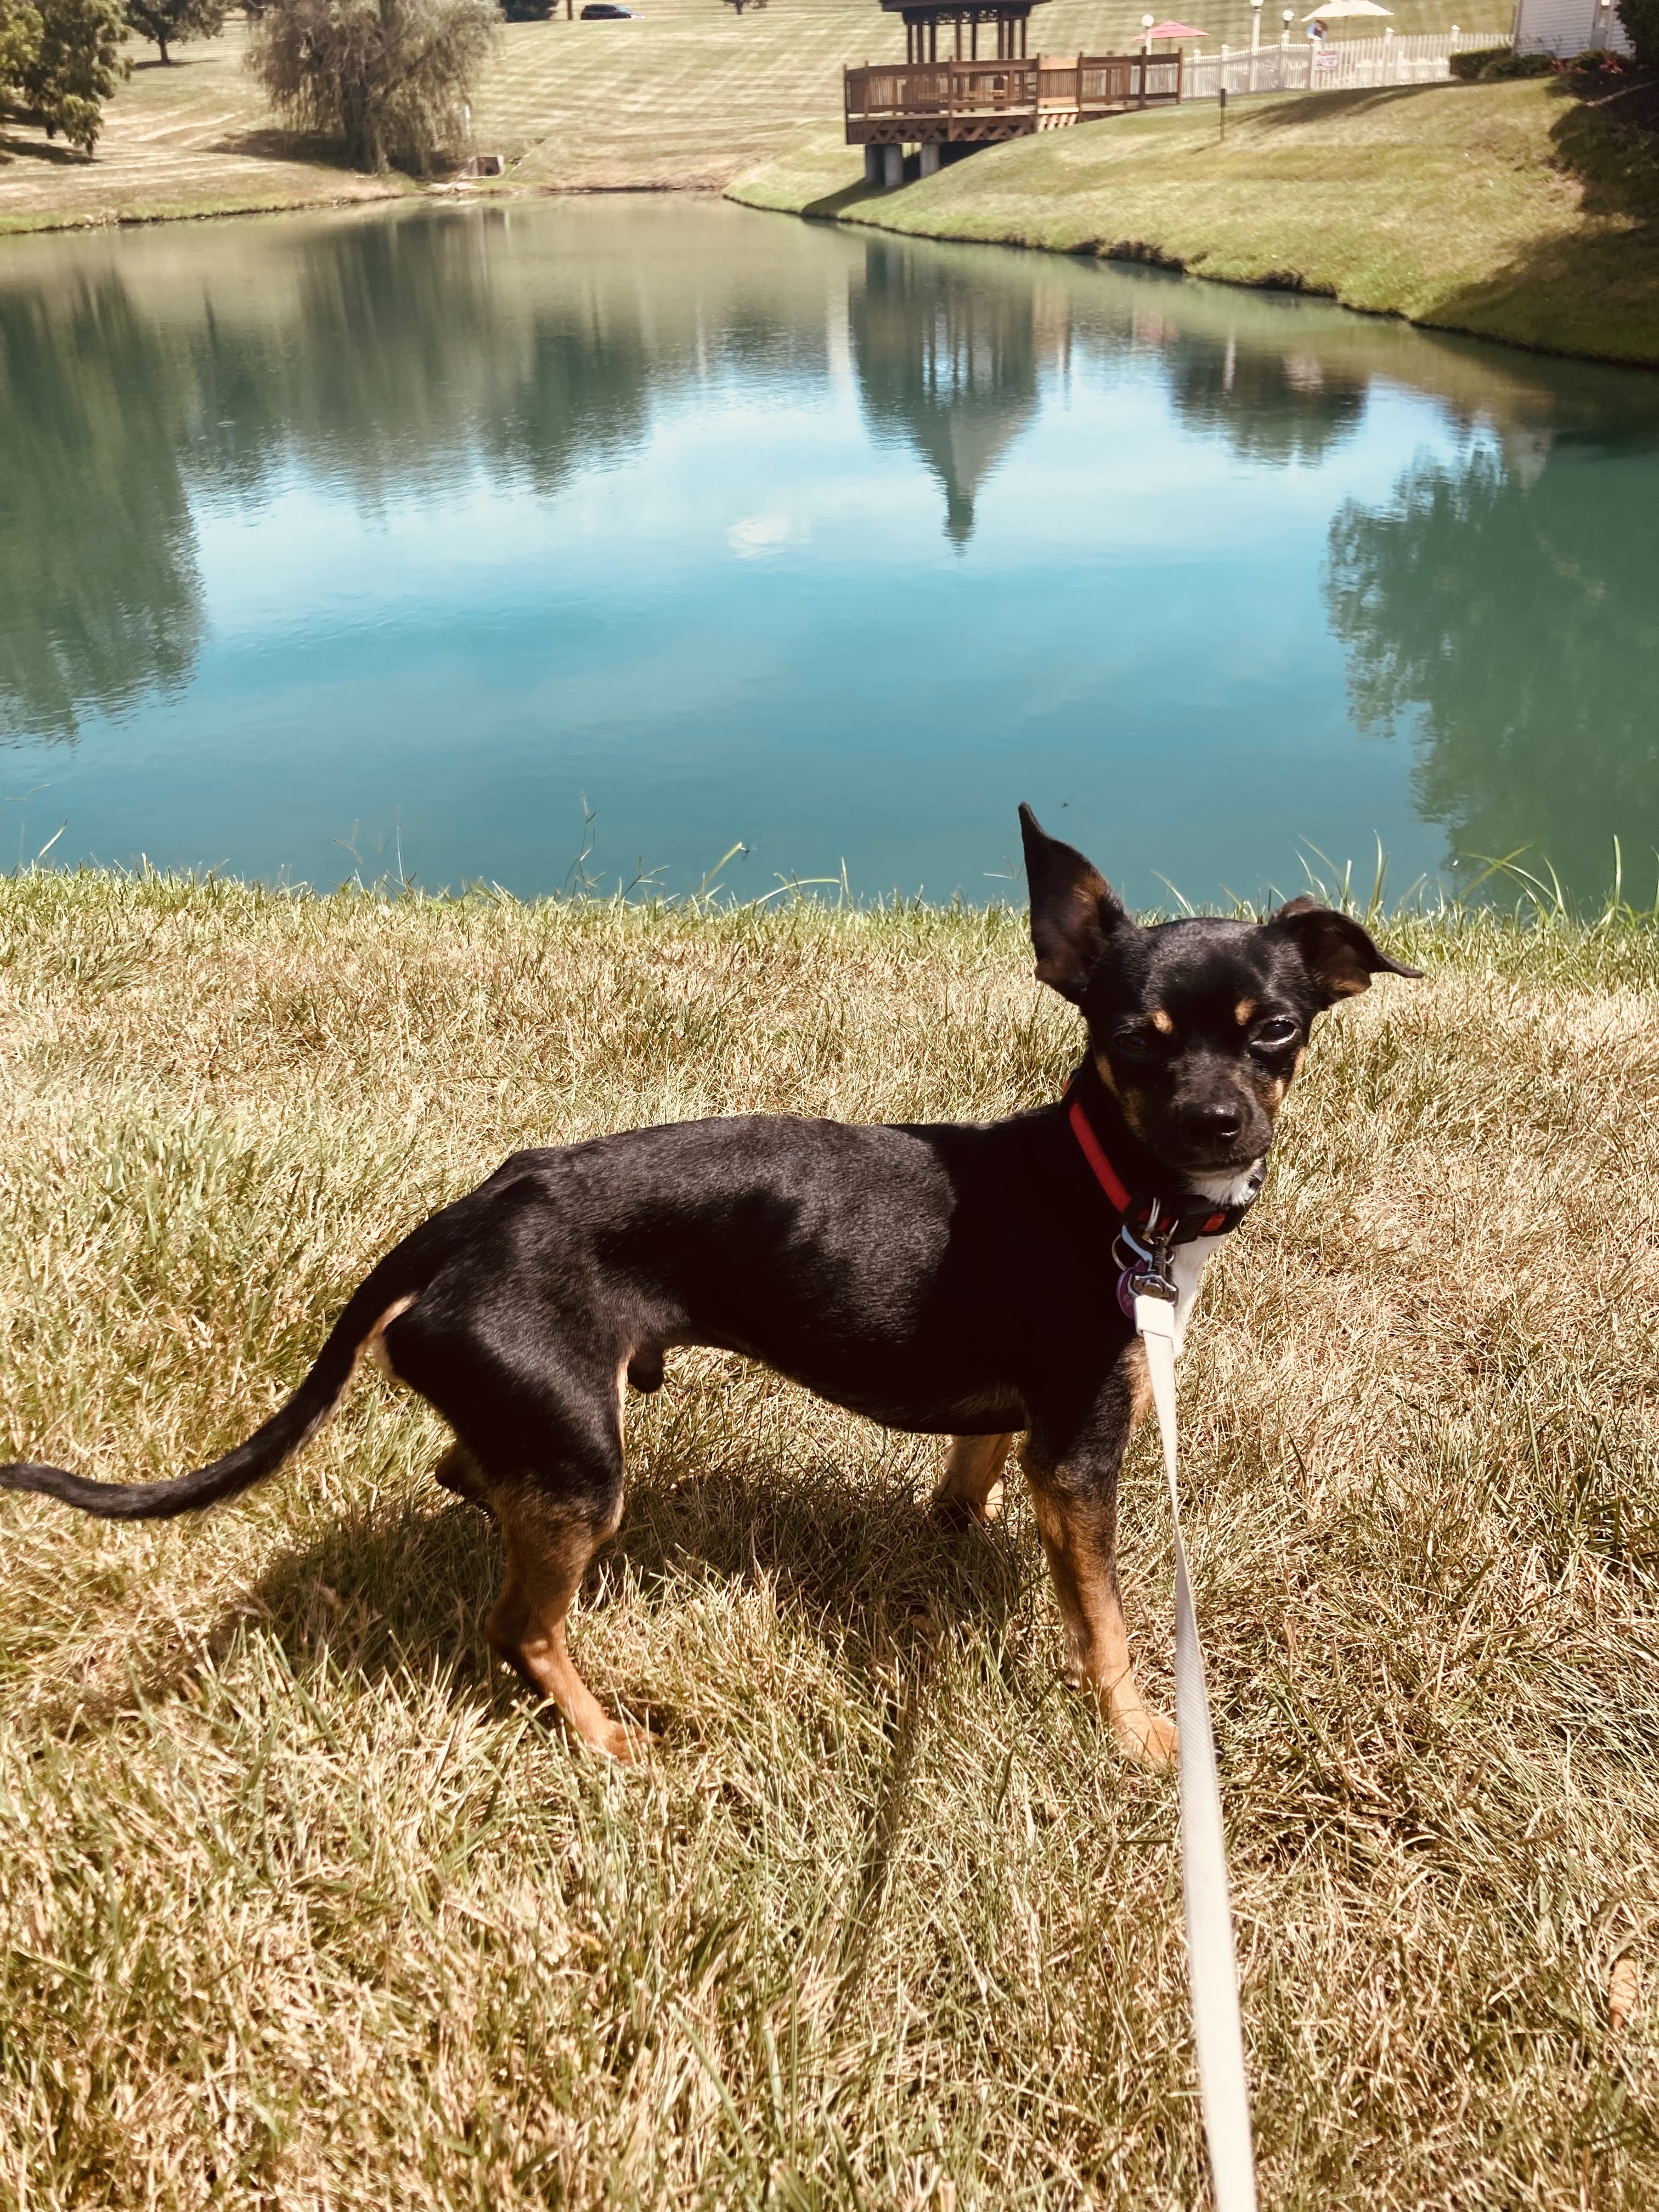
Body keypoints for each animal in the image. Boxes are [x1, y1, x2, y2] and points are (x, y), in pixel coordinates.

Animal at [6, 809, 1424, 1760]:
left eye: (1275, 1031)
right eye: (1137, 1039)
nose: (1219, 1123)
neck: (1106, 1183)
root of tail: (470, 1215)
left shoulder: (1030, 1428)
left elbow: (969, 1472)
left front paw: (957, 1531)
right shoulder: (1085, 1452)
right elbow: (1111, 1624)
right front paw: (1140, 1735)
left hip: (551, 1432)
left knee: (467, 1475)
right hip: (584, 1465)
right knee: (520, 1628)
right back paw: (605, 1740)